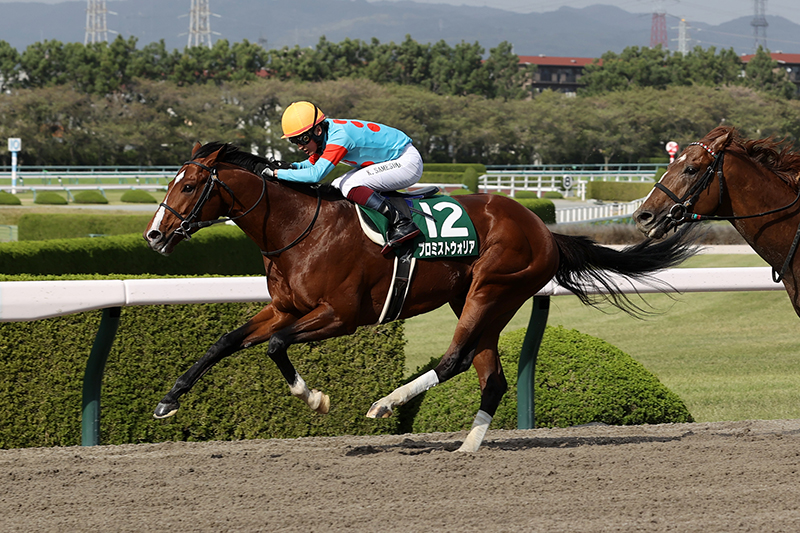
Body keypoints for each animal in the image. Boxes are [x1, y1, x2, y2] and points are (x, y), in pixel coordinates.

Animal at [144, 140, 692, 448]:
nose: (153, 236)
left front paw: (315, 398)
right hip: (476, 299)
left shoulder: (340, 315)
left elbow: (278, 347)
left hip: (494, 288)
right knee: (489, 375)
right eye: (169, 183)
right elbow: (226, 341)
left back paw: (387, 404)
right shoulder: (285, 308)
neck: (300, 228)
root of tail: (542, 227)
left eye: (189, 186)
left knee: (455, 359)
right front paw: (168, 400)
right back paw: (467, 446)